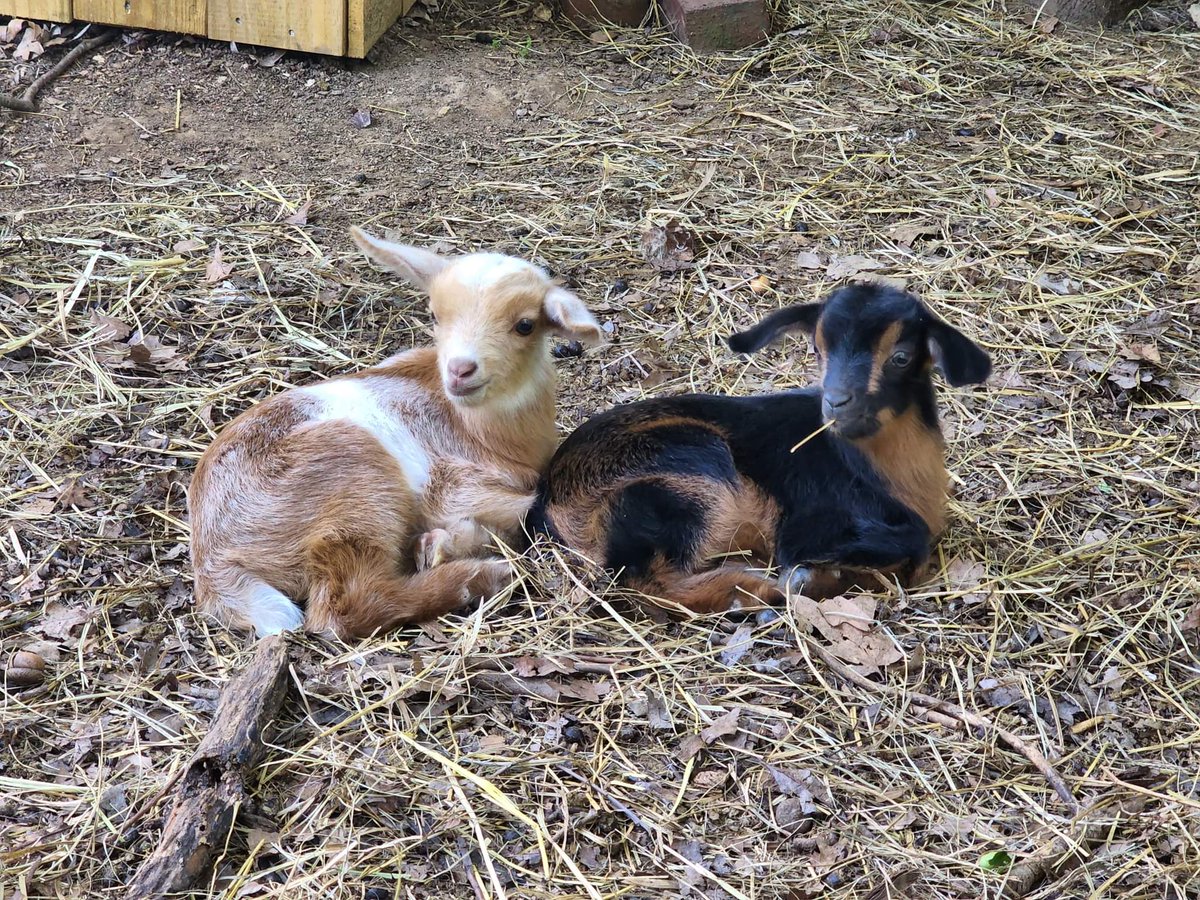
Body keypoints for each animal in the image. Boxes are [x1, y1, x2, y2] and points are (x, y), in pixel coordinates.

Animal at [188, 228, 603, 639]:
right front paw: (444, 545)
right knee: (343, 607)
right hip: (359, 483)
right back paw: (484, 576)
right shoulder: (457, 487)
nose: (459, 370)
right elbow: (515, 514)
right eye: (434, 314)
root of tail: (213, 565)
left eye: (525, 325)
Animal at [528, 283, 991, 613]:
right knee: (650, 582)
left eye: (901, 356)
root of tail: (551, 499)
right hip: (691, 479)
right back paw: (759, 588)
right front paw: (821, 577)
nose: (835, 402)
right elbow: (911, 544)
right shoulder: (807, 523)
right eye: (817, 349)